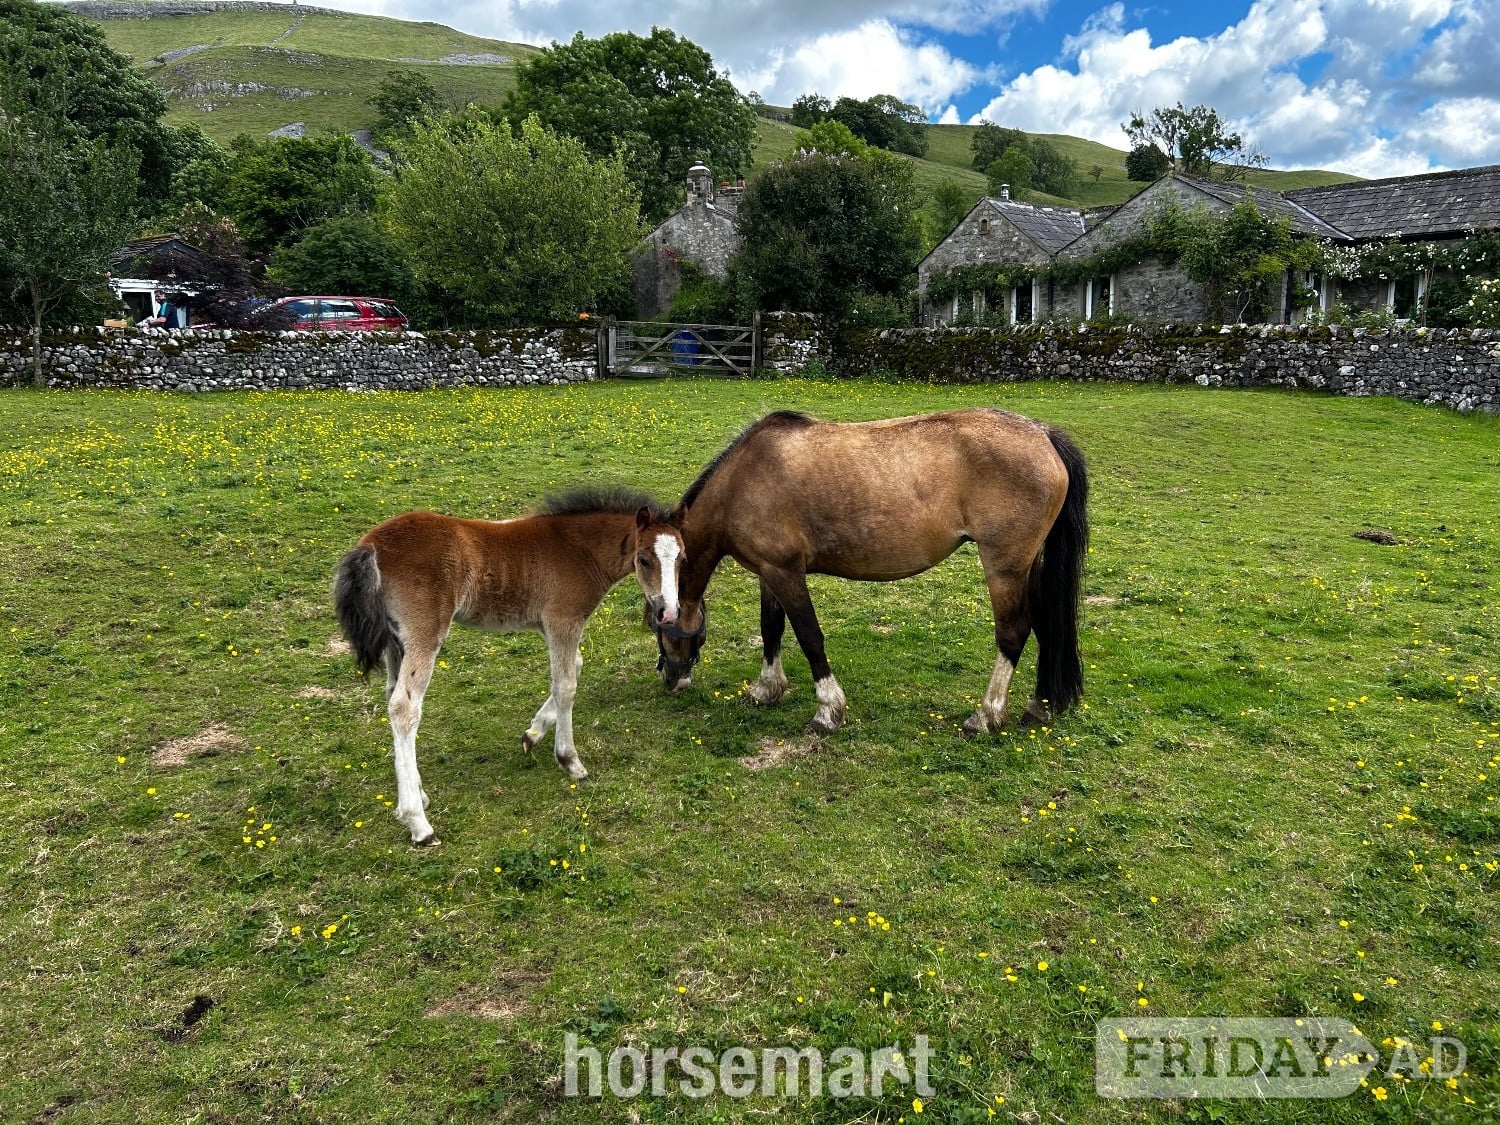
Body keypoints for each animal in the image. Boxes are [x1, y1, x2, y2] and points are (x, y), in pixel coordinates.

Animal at [334, 487, 685, 845]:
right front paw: (569, 760)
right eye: (644, 559)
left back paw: (419, 795)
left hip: (396, 642)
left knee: (393, 698)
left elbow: (574, 665)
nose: (669, 612)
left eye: (682, 558)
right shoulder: (563, 620)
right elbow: (566, 686)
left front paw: (533, 734)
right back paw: (418, 823)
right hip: (424, 633)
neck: (579, 548)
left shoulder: (548, 625)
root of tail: (371, 545)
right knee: (405, 708)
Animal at [654, 409, 1088, 736]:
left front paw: (828, 711)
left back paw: (986, 716)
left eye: (657, 624)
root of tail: (1043, 434)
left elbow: (809, 637)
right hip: (1027, 566)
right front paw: (766, 689)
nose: (671, 680)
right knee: (1048, 624)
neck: (745, 479)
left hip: (1005, 567)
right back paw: (1040, 707)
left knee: (1014, 631)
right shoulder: (768, 573)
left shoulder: (785, 573)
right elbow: (770, 629)